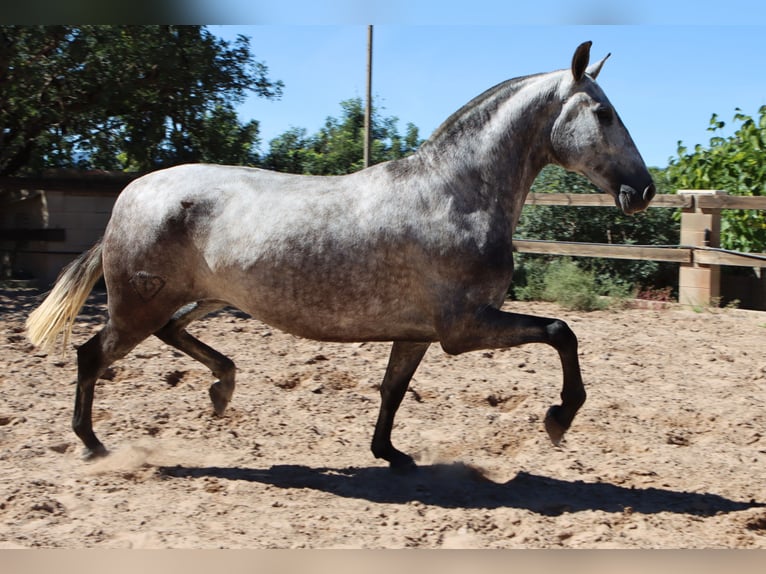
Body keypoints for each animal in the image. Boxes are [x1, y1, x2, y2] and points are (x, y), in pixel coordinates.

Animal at [28, 41, 656, 472]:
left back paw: (221, 390)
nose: (644, 190)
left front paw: (390, 454)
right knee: (91, 355)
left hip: (204, 299)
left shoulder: (418, 333)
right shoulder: (464, 328)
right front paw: (558, 419)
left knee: (172, 334)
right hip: (139, 306)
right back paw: (93, 444)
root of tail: (129, 195)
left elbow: (393, 390)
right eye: (603, 114)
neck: (454, 194)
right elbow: (560, 331)